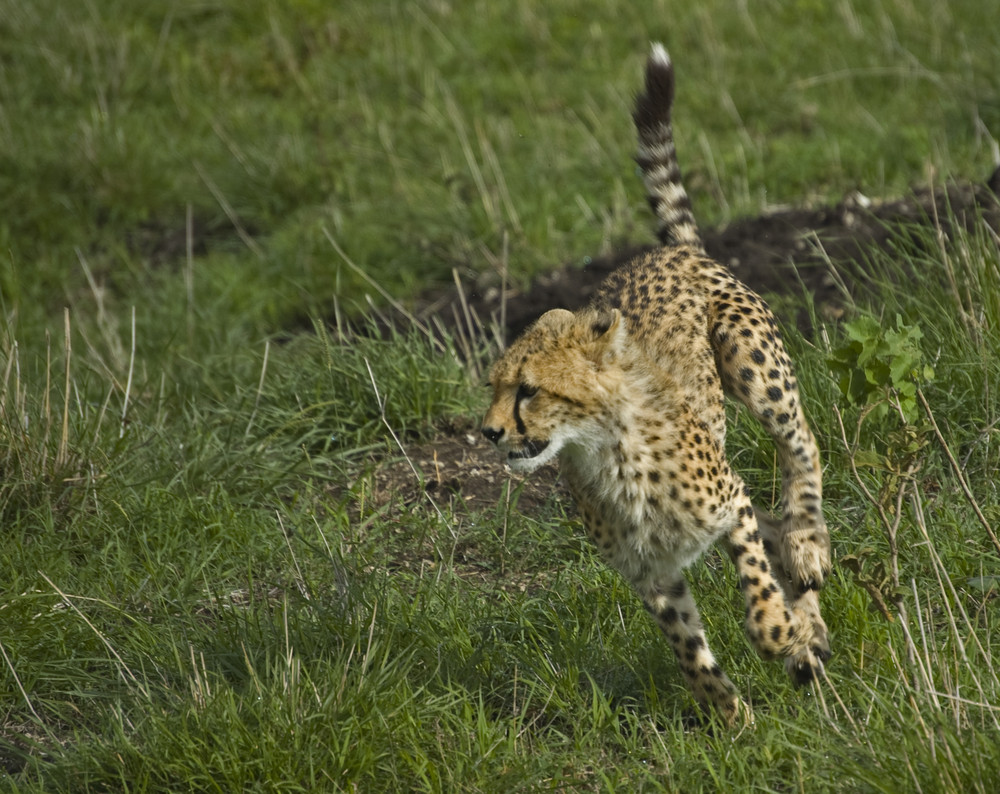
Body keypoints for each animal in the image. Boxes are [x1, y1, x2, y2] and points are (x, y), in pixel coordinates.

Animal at [480, 44, 832, 724]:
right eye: (493, 387)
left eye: (529, 390)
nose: (488, 432)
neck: (607, 453)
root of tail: (669, 252)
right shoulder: (651, 576)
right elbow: (691, 655)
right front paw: (734, 720)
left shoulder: (731, 503)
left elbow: (757, 596)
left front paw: (782, 633)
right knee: (778, 525)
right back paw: (810, 622)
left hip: (751, 360)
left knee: (801, 448)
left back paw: (809, 547)